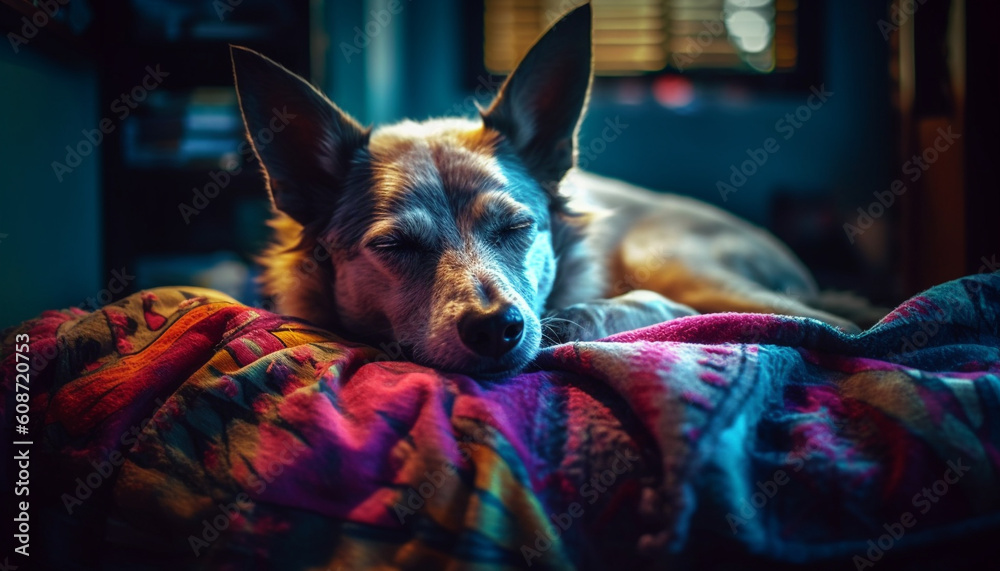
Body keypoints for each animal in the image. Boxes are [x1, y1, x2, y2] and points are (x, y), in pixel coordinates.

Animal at [230, 4, 872, 382]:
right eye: (395, 248)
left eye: (517, 228)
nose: (496, 328)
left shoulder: (661, 304)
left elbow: (595, 315)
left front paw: (570, 323)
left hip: (677, 262)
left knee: (830, 324)